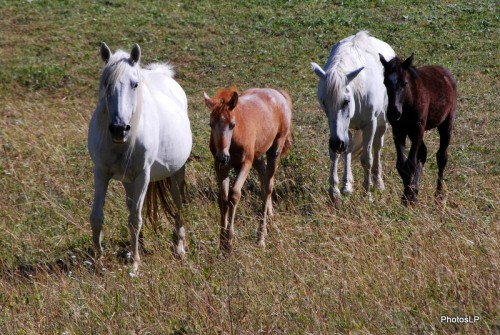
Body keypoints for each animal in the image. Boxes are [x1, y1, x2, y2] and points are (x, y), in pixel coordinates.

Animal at [88, 42, 191, 276]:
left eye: (135, 84)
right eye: (106, 83)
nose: (119, 129)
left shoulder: (143, 175)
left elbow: (135, 219)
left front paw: (135, 265)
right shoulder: (101, 172)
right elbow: (97, 217)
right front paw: (99, 261)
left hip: (176, 173)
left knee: (178, 205)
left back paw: (179, 247)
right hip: (128, 180)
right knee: (132, 206)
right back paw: (138, 247)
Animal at [204, 86, 292, 252]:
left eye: (232, 124)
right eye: (211, 124)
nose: (222, 156)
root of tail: (278, 93)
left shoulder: (245, 164)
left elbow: (234, 195)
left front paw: (229, 241)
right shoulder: (220, 167)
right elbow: (223, 199)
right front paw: (222, 242)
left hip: (274, 150)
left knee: (268, 186)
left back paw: (261, 237)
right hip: (257, 155)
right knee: (264, 176)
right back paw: (270, 219)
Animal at [312, 31, 394, 205]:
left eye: (346, 101)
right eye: (324, 102)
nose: (337, 143)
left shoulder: (370, 124)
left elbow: (367, 159)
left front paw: (367, 193)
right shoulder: (337, 132)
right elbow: (335, 153)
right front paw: (334, 191)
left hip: (381, 124)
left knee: (377, 147)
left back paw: (378, 184)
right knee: (348, 149)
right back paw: (347, 186)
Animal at [378, 53, 458, 205]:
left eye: (404, 83)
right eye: (385, 83)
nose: (394, 113)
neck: (408, 102)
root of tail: (445, 73)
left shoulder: (417, 130)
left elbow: (411, 164)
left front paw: (408, 198)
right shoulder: (398, 131)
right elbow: (402, 165)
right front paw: (407, 196)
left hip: (446, 123)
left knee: (441, 156)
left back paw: (438, 196)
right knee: (423, 153)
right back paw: (416, 191)